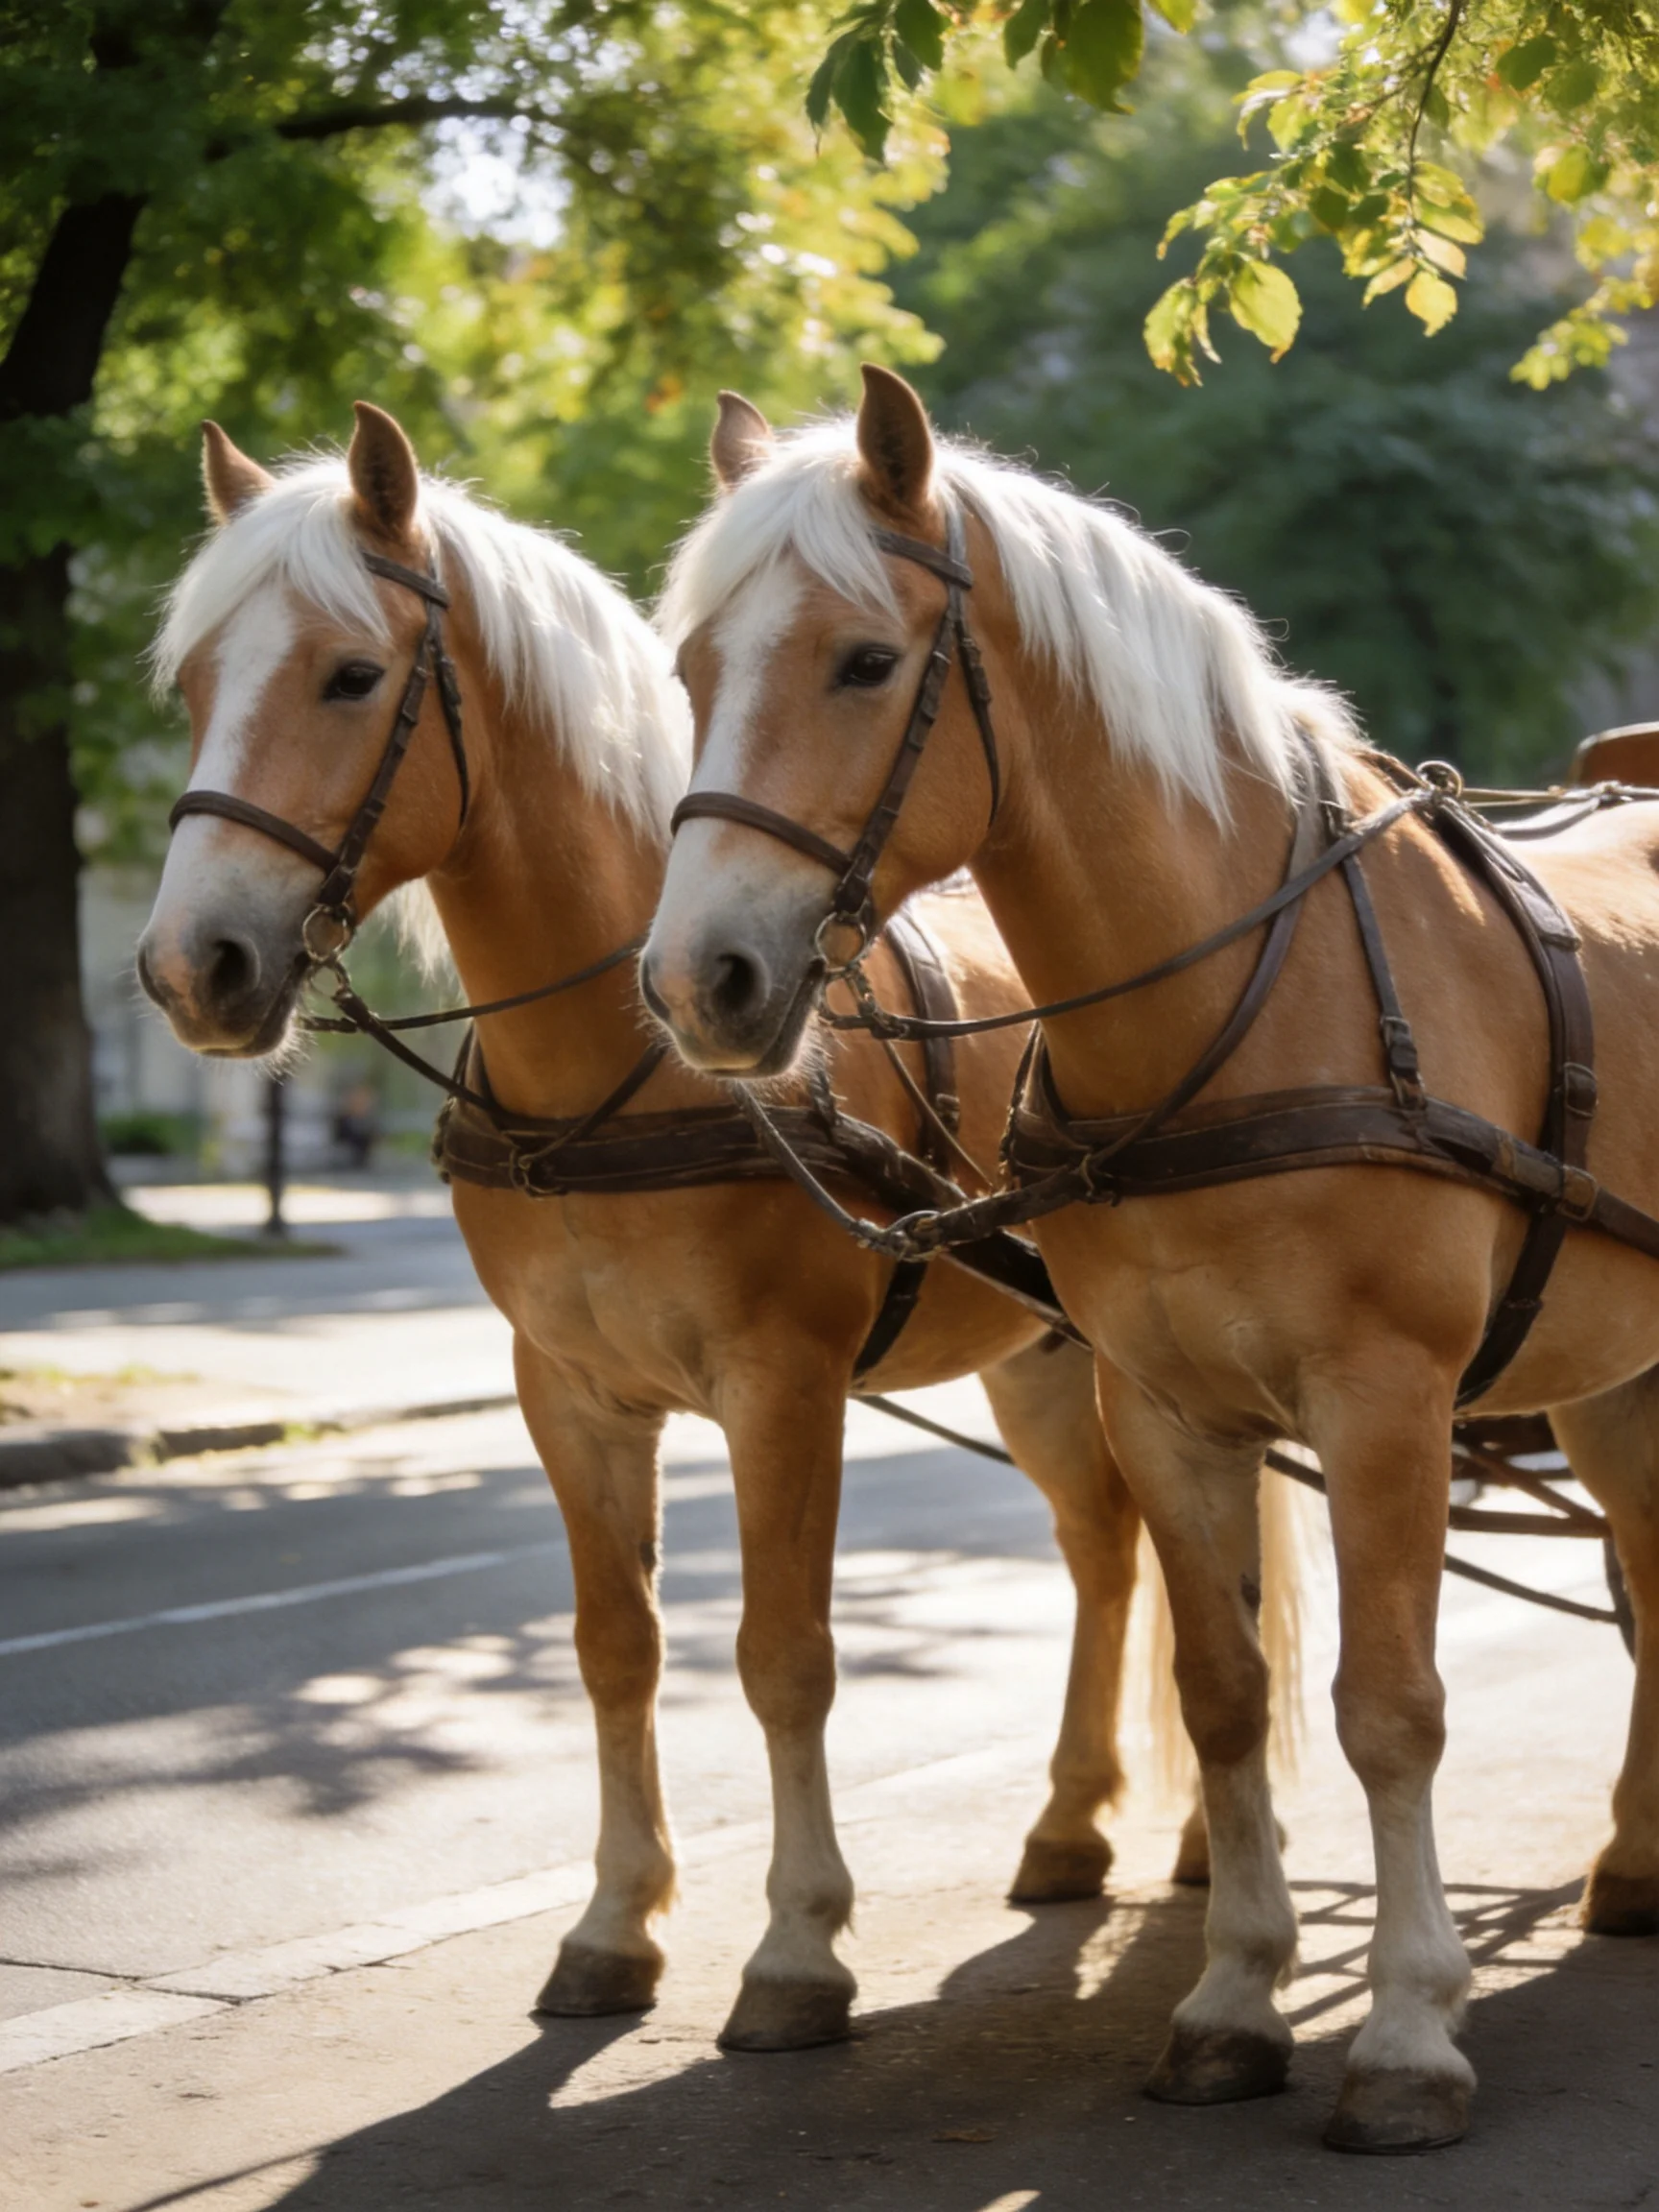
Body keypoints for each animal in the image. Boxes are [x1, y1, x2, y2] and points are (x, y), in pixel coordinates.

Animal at [134, 402, 1306, 2054]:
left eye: (350, 676)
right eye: (192, 689)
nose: (191, 967)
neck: (619, 1067)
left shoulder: (782, 1389)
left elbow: (783, 1657)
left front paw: (797, 1946)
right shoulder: (568, 1395)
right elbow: (616, 1650)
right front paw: (616, 1923)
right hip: (1045, 1356)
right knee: (1108, 1547)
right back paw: (1080, 1825)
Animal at [640, 367, 1659, 2147]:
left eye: (863, 660)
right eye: (694, 670)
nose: (699, 979)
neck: (1241, 998)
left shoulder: (1384, 1403)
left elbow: (1389, 1707)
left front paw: (1407, 2026)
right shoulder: (1166, 1407)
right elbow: (1225, 1690)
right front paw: (1234, 1994)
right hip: (1607, 1372)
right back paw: (1638, 1855)